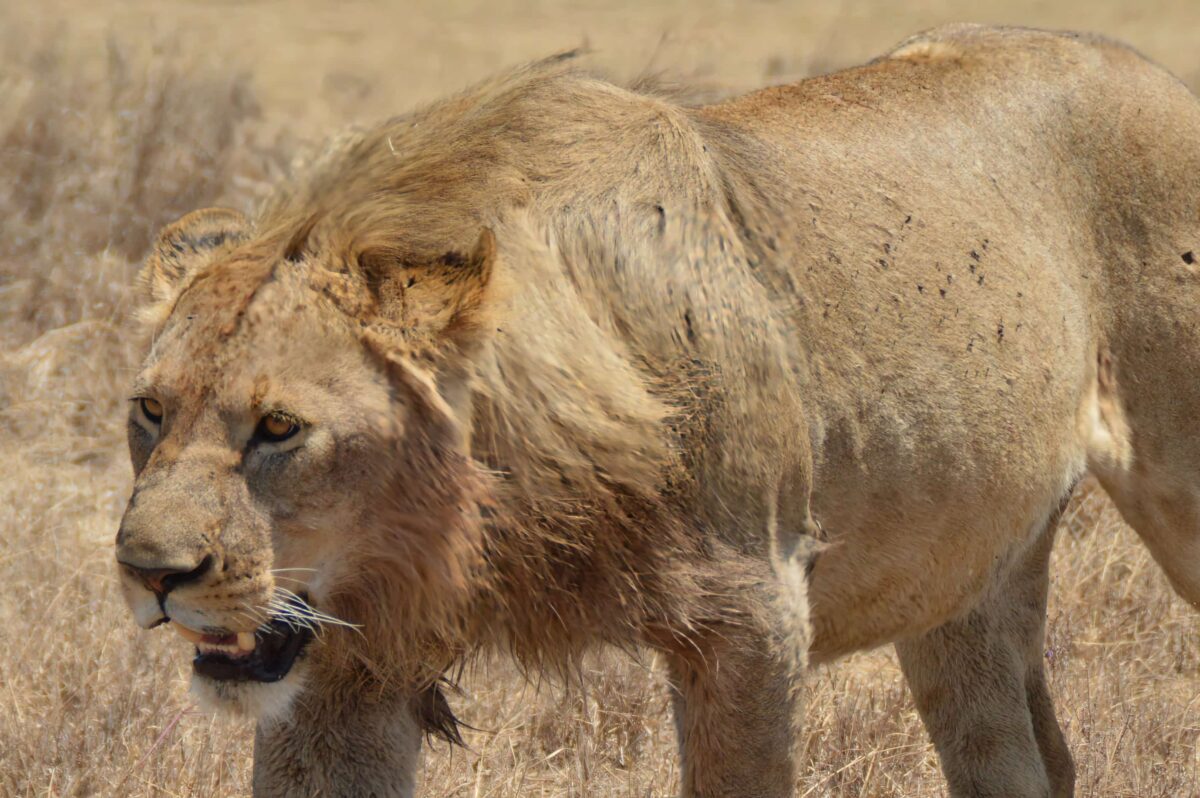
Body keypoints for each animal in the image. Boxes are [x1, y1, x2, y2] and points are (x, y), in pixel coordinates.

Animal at [114, 24, 1200, 797]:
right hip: (963, 564)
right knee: (1020, 757)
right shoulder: (348, 660)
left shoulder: (754, 614)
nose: (151, 575)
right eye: (149, 412)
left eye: (280, 429)